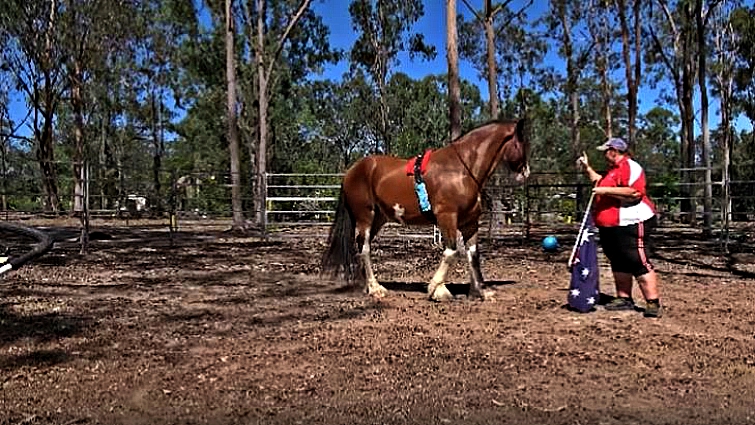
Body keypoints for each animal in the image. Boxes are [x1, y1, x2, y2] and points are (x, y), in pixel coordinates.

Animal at [321, 119, 530, 301]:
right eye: (522, 143)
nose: (526, 173)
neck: (461, 169)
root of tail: (352, 171)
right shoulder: (447, 217)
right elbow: (452, 252)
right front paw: (437, 289)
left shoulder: (470, 223)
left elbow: (473, 255)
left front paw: (480, 291)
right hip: (365, 216)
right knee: (364, 249)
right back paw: (375, 288)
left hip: (378, 219)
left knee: (362, 247)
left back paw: (368, 286)